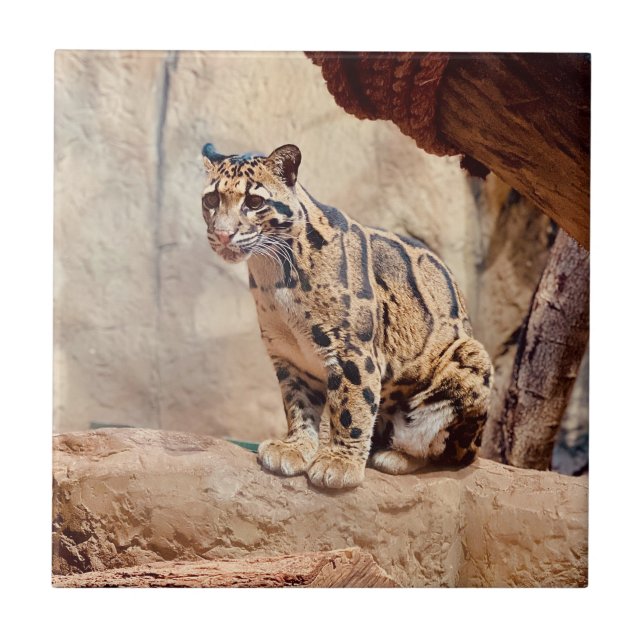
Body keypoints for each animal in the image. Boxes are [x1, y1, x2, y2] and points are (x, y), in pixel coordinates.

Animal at [201, 142, 493, 489]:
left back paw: (395, 456)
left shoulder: (351, 350)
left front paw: (339, 463)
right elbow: (298, 405)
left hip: (470, 358)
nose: (222, 234)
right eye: (211, 200)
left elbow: (352, 407)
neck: (273, 273)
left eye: (254, 202)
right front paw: (295, 447)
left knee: (446, 451)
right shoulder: (289, 355)